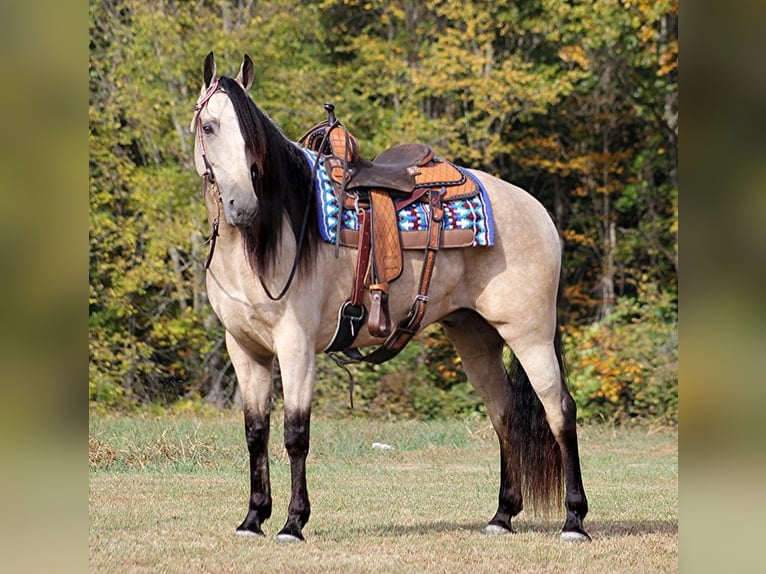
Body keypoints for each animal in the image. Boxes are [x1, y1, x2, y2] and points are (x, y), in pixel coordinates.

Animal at [189, 53, 592, 544]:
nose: (243, 206)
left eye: (251, 135)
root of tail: (539, 212)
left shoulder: (296, 344)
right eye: (209, 126)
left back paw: (574, 520)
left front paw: (293, 523)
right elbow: (255, 433)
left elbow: (295, 434)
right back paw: (501, 516)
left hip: (530, 334)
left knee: (560, 412)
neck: (271, 234)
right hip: (475, 338)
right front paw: (252, 519)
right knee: (505, 414)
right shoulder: (245, 349)